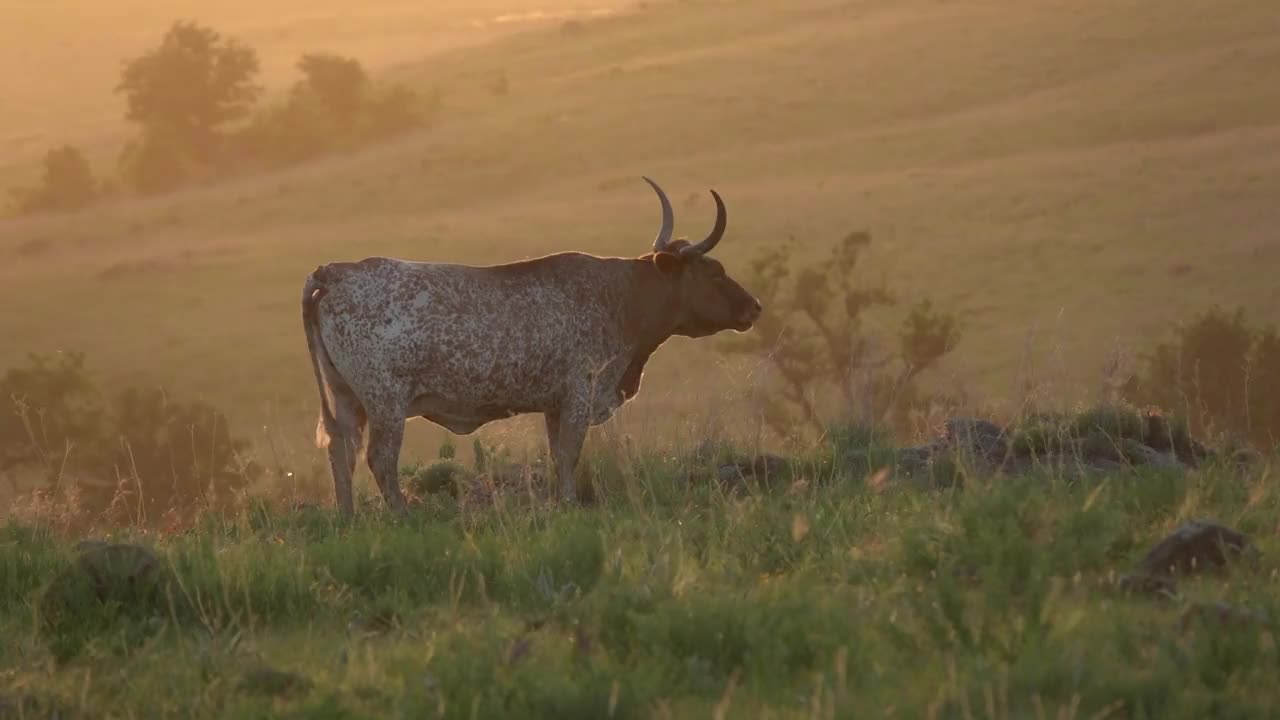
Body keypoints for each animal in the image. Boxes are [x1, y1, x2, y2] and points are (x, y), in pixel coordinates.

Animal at [302, 179, 757, 515]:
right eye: (715, 272)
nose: (754, 306)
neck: (620, 297)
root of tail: (335, 271)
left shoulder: (555, 405)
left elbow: (558, 455)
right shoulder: (580, 393)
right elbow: (569, 454)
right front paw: (570, 503)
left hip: (346, 400)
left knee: (340, 455)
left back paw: (349, 519)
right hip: (386, 403)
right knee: (379, 459)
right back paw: (402, 516)